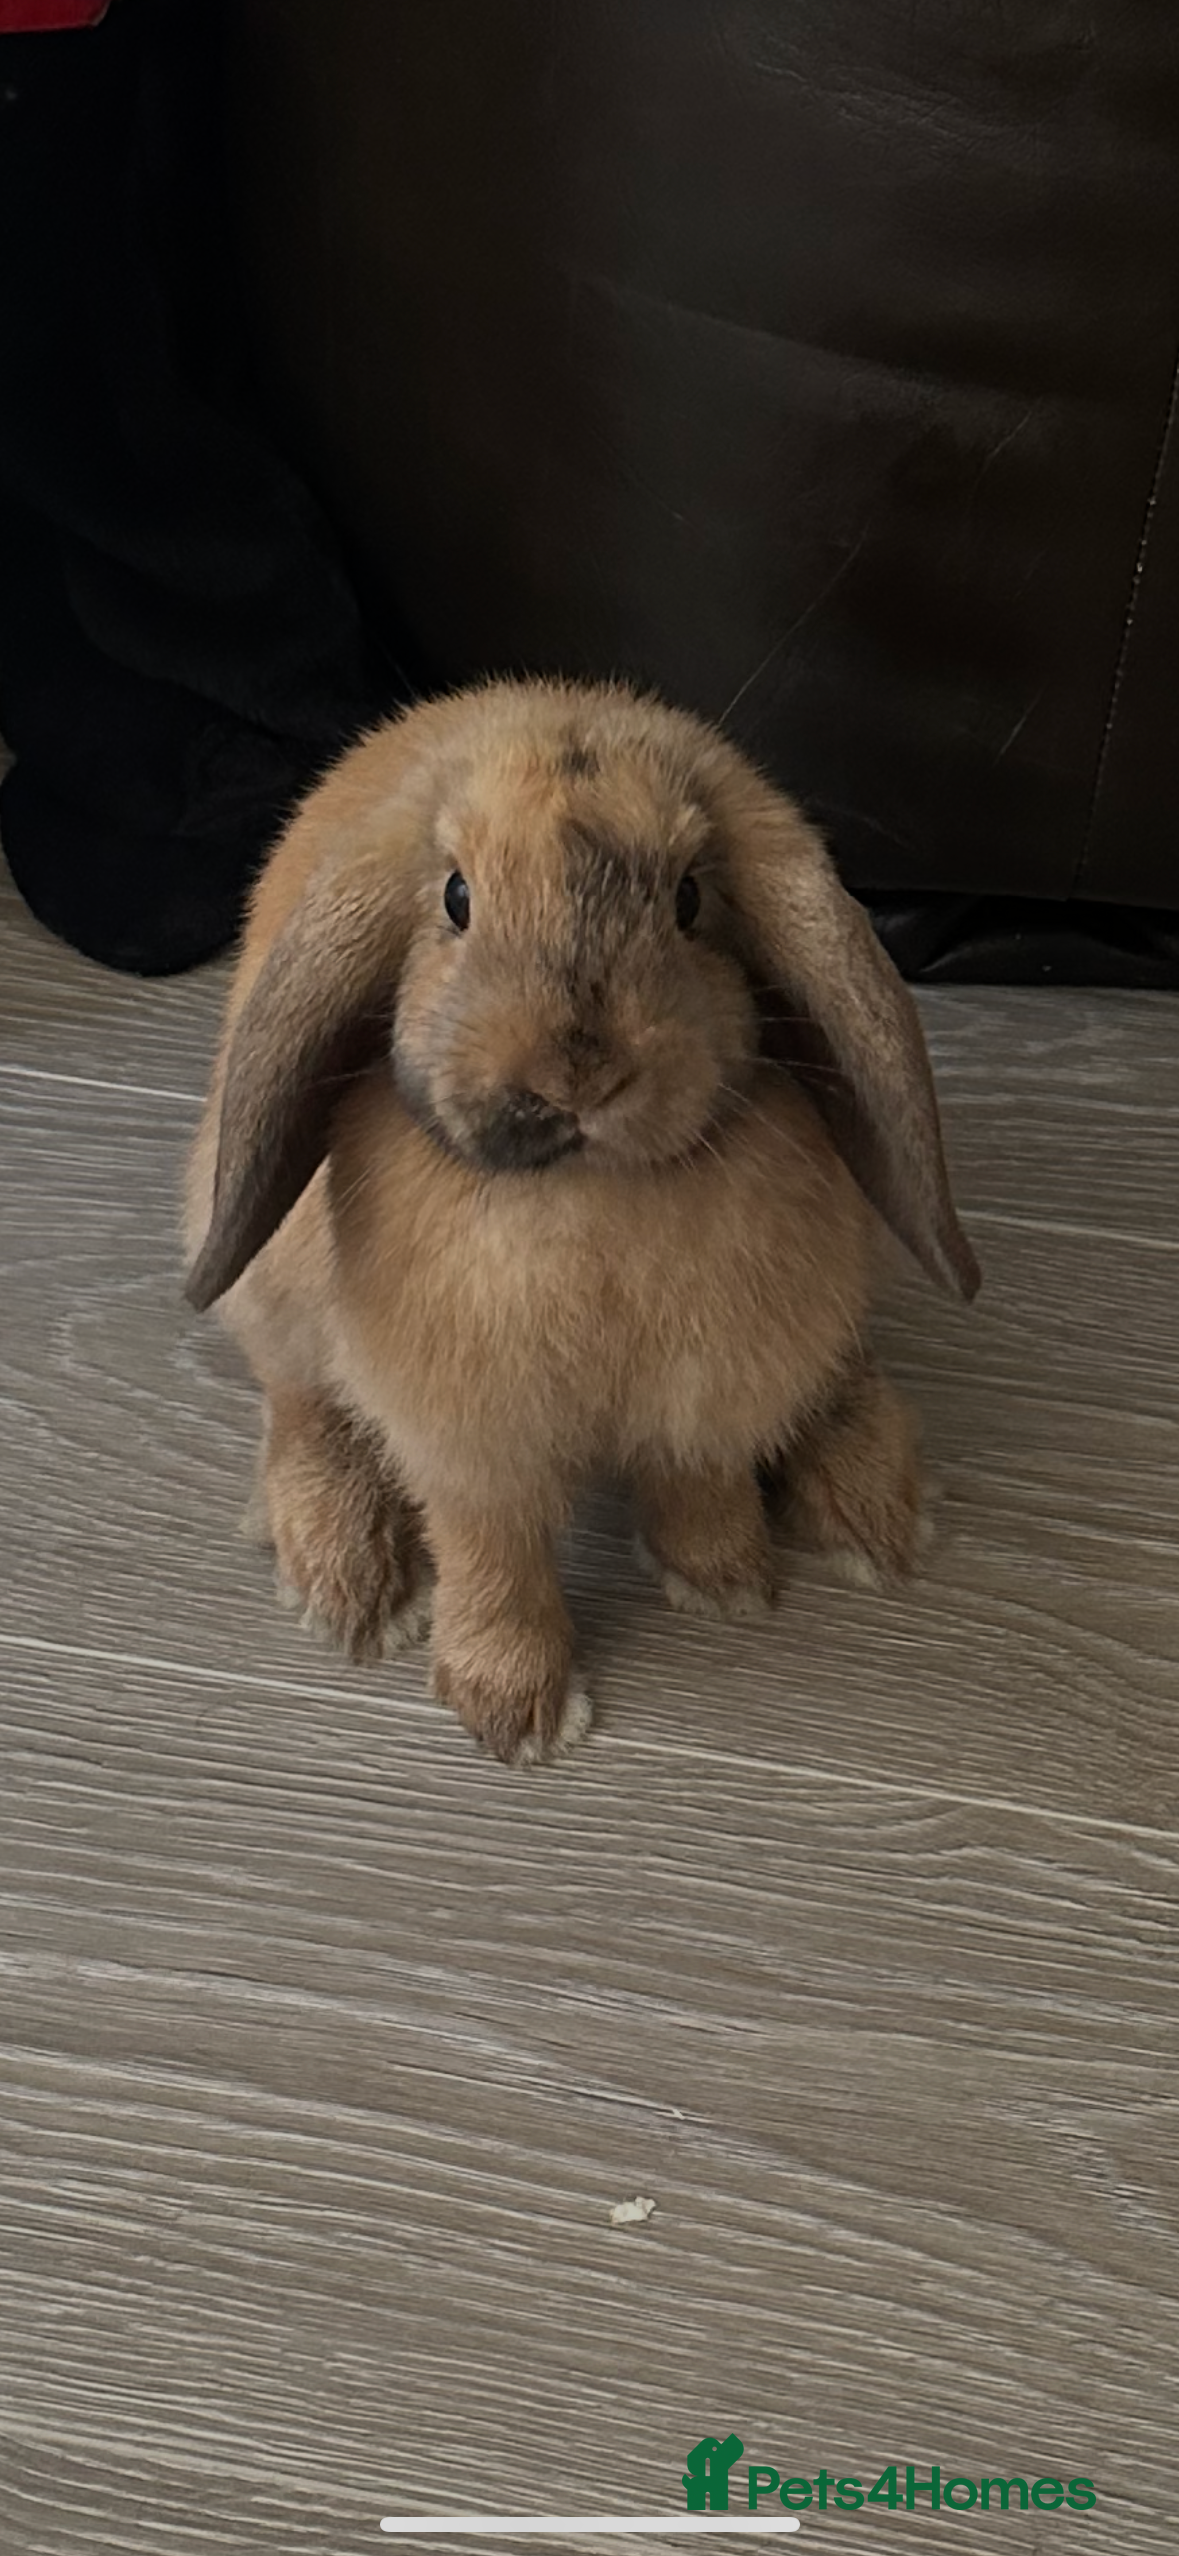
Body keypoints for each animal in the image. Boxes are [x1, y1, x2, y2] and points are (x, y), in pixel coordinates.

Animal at [185, 678, 979, 1766]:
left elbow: (698, 1477)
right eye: (457, 898)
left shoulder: (706, 1392)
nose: (579, 1072)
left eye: (688, 899)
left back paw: (872, 1506)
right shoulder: (470, 1445)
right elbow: (494, 1556)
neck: (589, 1199)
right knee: (301, 1402)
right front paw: (511, 1712)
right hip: (275, 1281)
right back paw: (349, 1584)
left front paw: (721, 1577)